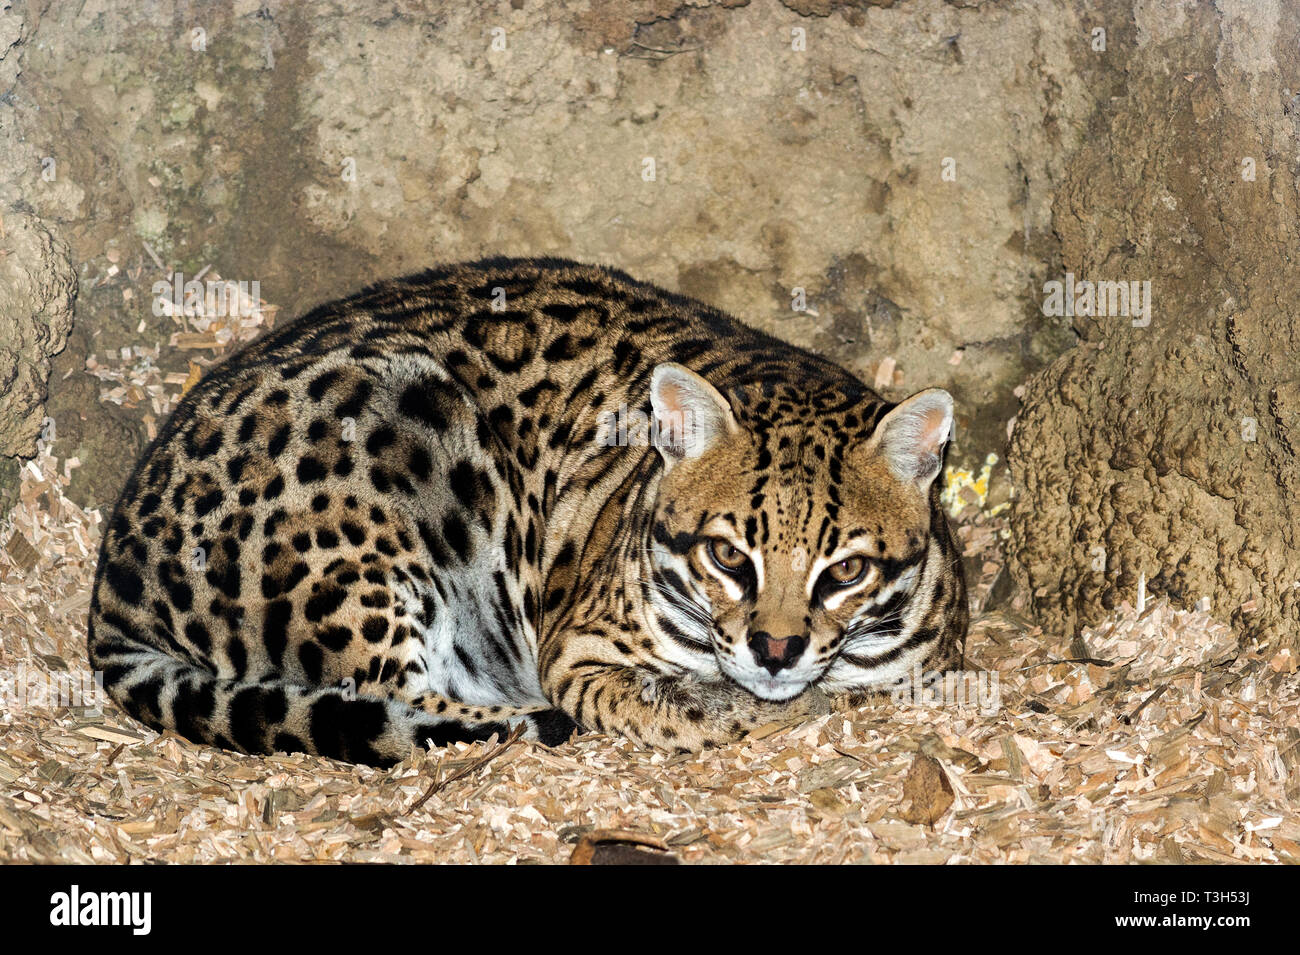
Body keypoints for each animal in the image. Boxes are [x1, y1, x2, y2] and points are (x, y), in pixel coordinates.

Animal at [89, 257, 967, 764]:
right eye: (727, 555)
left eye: (844, 570)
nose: (776, 650)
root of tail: (115, 573)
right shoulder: (576, 647)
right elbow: (655, 698)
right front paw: (722, 708)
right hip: (391, 459)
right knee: (393, 701)